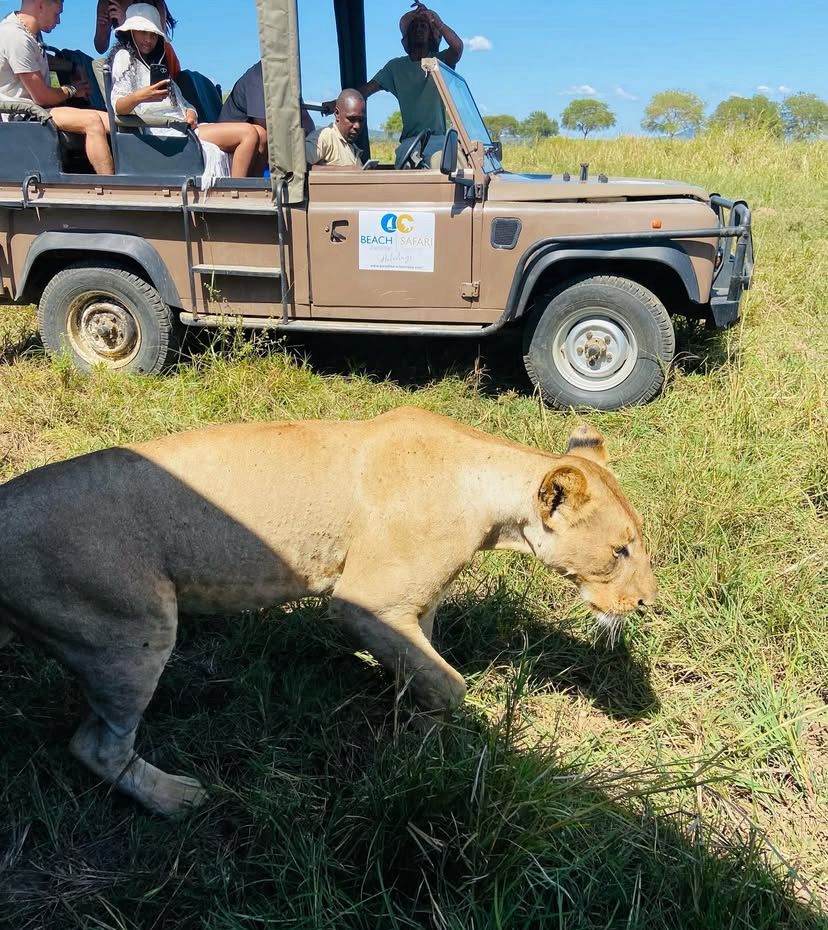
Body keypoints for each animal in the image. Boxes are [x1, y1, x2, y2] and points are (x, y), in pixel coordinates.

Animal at [0, 407, 656, 815]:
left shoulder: (410, 607)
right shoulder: (363, 603)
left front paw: (413, 728)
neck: (488, 493)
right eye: (620, 550)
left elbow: (423, 668)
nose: (648, 602)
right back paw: (178, 799)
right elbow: (449, 683)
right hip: (130, 631)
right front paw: (437, 748)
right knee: (95, 745)